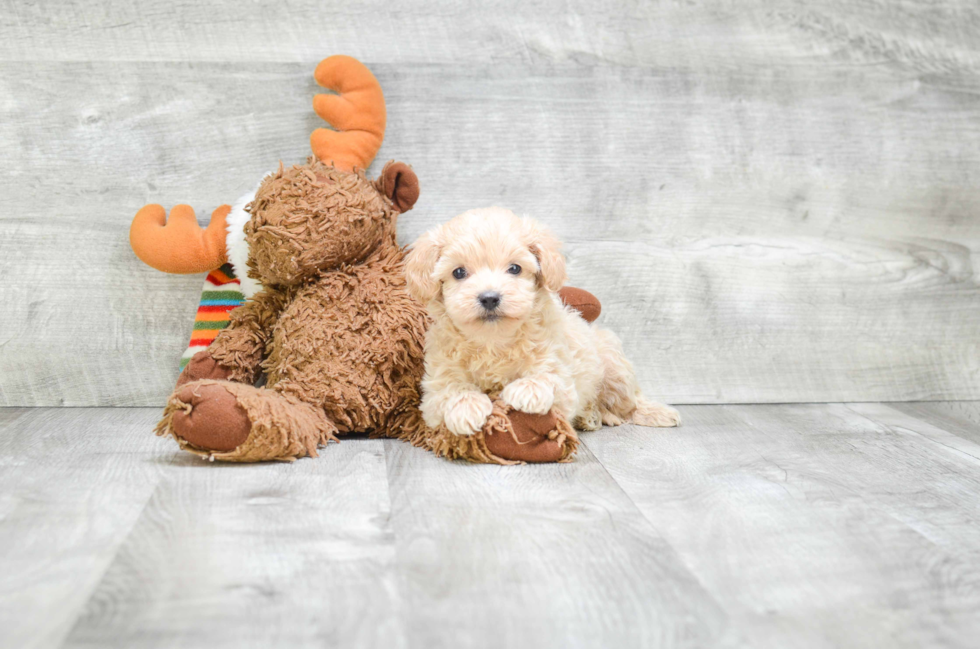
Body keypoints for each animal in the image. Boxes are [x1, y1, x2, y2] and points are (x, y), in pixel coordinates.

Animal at [406, 208, 680, 438]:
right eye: (459, 272)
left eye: (515, 269)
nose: (490, 297)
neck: (493, 340)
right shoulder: (435, 386)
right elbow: (451, 389)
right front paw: (466, 408)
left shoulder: (560, 373)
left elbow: (549, 378)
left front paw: (526, 390)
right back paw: (593, 416)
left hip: (614, 366)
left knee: (630, 402)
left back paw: (656, 413)